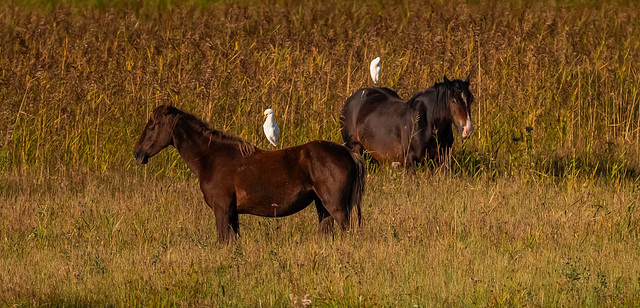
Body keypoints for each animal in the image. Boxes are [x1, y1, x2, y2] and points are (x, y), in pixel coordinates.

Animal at [132, 106, 364, 243]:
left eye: (152, 126)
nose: (137, 153)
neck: (212, 157)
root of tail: (348, 153)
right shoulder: (232, 213)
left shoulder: (222, 210)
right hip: (323, 207)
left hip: (337, 208)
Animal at [340, 76, 476, 170]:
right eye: (453, 100)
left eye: (471, 100)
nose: (467, 129)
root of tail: (351, 100)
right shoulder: (410, 161)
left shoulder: (442, 160)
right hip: (355, 148)